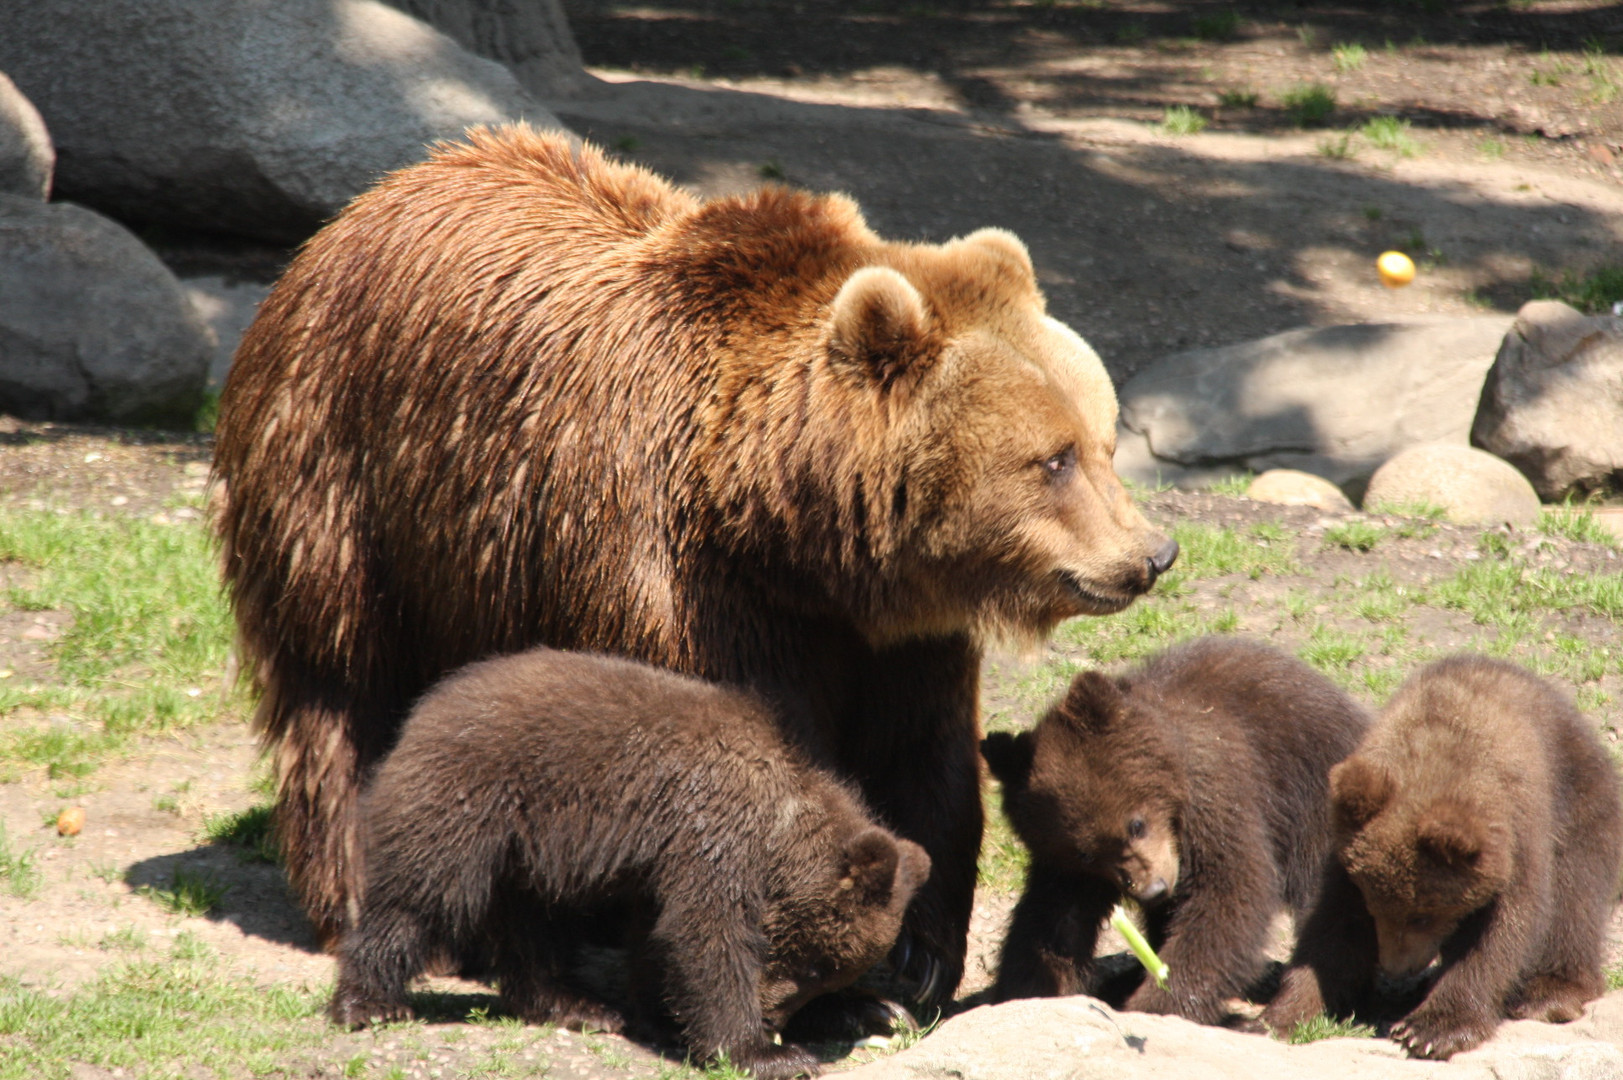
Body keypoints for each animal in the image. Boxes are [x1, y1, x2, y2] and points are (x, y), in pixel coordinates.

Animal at [215, 126, 1181, 1000]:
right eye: (1051, 459)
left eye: (1102, 439)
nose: (1152, 555)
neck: (783, 530)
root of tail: (364, 203)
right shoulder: (681, 588)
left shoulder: (897, 634)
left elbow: (923, 756)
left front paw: (920, 954)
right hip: (350, 474)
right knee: (340, 684)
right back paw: (370, 897)